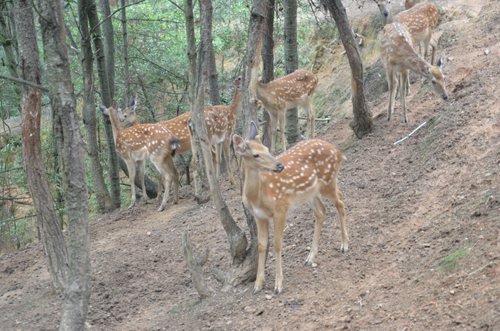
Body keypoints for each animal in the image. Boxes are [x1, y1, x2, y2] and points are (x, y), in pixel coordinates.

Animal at [234, 122, 348, 296]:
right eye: (256, 155)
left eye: (267, 148)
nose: (280, 165)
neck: (257, 197)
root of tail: (338, 152)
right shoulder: (259, 216)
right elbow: (261, 245)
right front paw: (258, 285)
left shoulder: (280, 208)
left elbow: (277, 244)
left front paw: (278, 285)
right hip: (310, 192)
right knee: (321, 210)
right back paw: (309, 258)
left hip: (328, 180)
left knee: (340, 201)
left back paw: (344, 245)